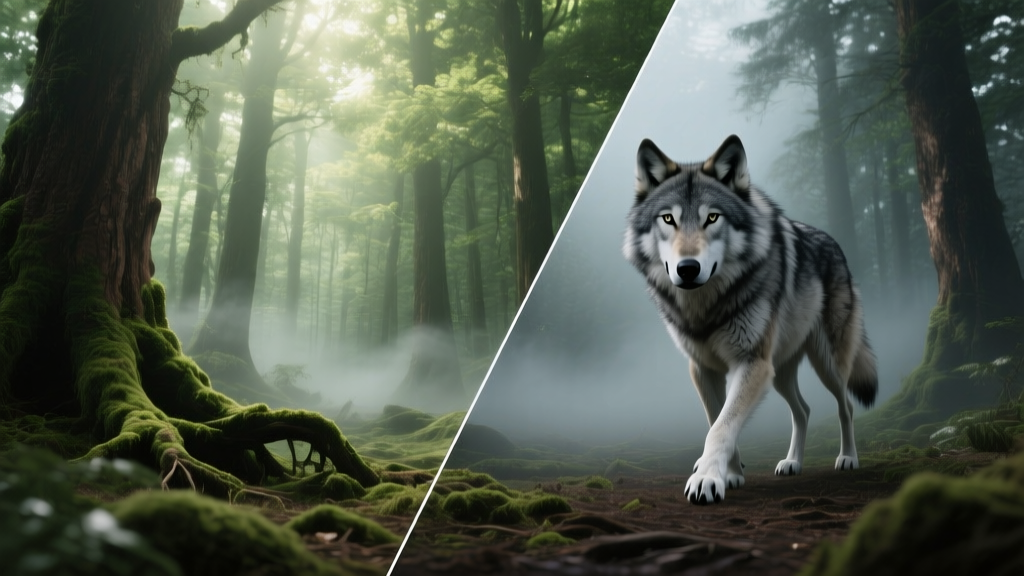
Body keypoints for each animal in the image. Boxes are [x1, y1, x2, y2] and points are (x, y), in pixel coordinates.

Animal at [622, 135, 877, 505]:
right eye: (668, 219)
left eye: (712, 218)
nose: (688, 268)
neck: (706, 307)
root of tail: (835, 244)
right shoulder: (704, 369)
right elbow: (718, 420)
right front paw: (730, 475)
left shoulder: (751, 362)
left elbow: (722, 427)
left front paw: (707, 479)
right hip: (780, 372)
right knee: (803, 410)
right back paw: (792, 463)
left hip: (826, 363)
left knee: (846, 406)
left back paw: (847, 457)